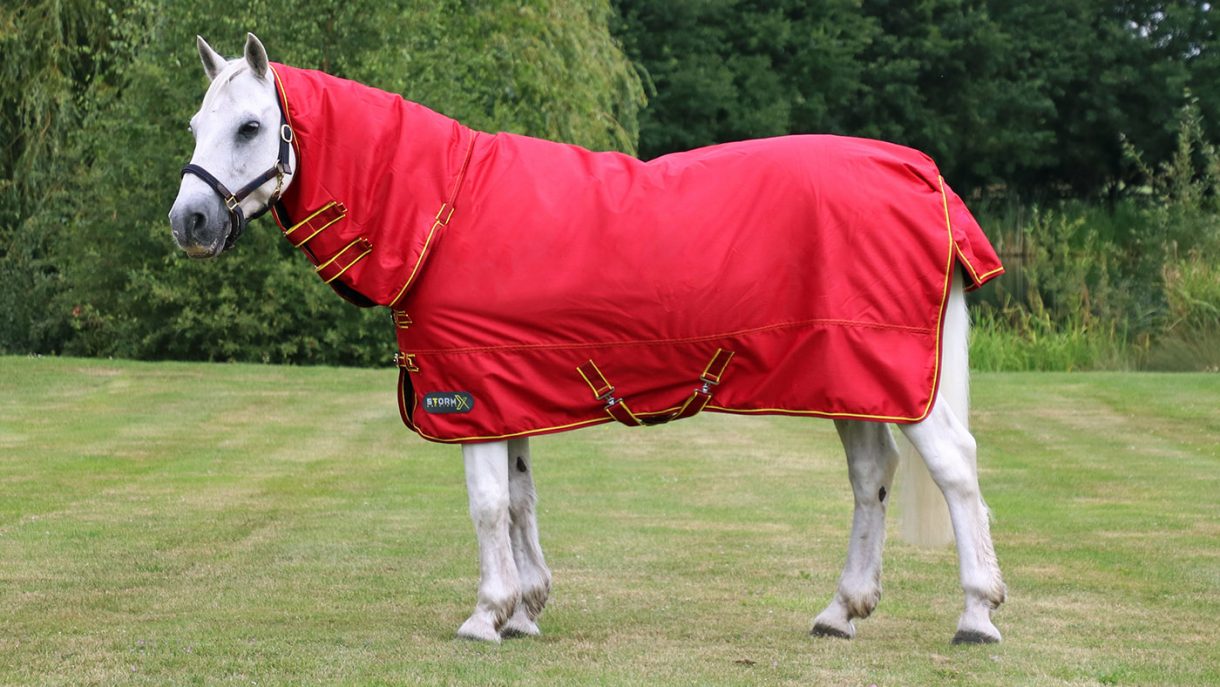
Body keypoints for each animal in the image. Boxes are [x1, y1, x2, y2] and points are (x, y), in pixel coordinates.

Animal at [169, 34, 1006, 645]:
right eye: (196, 127)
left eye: (250, 126)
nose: (190, 222)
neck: (442, 210)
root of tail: (923, 175)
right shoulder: (506, 389)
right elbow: (520, 499)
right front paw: (527, 608)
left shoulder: (468, 391)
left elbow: (486, 503)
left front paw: (486, 614)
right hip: (850, 376)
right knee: (872, 475)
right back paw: (841, 611)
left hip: (896, 374)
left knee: (956, 468)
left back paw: (976, 614)